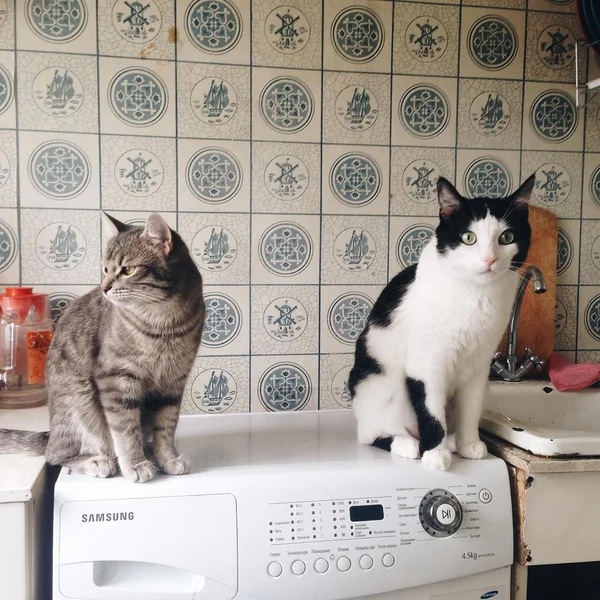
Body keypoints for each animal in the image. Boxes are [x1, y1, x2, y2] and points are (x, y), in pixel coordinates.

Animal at [0, 214, 204, 482]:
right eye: (106, 269)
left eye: (127, 270)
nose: (104, 288)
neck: (164, 323)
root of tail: (50, 433)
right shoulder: (117, 378)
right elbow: (125, 430)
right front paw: (135, 464)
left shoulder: (174, 381)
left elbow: (166, 427)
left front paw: (168, 458)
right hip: (79, 399)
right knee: (56, 454)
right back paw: (97, 461)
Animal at [352, 176, 536, 472]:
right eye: (468, 238)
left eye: (507, 237)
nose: (489, 259)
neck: (475, 293)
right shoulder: (427, 364)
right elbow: (431, 408)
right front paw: (435, 453)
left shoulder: (479, 365)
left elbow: (471, 407)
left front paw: (469, 443)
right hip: (378, 386)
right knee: (372, 434)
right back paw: (408, 443)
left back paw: (452, 441)